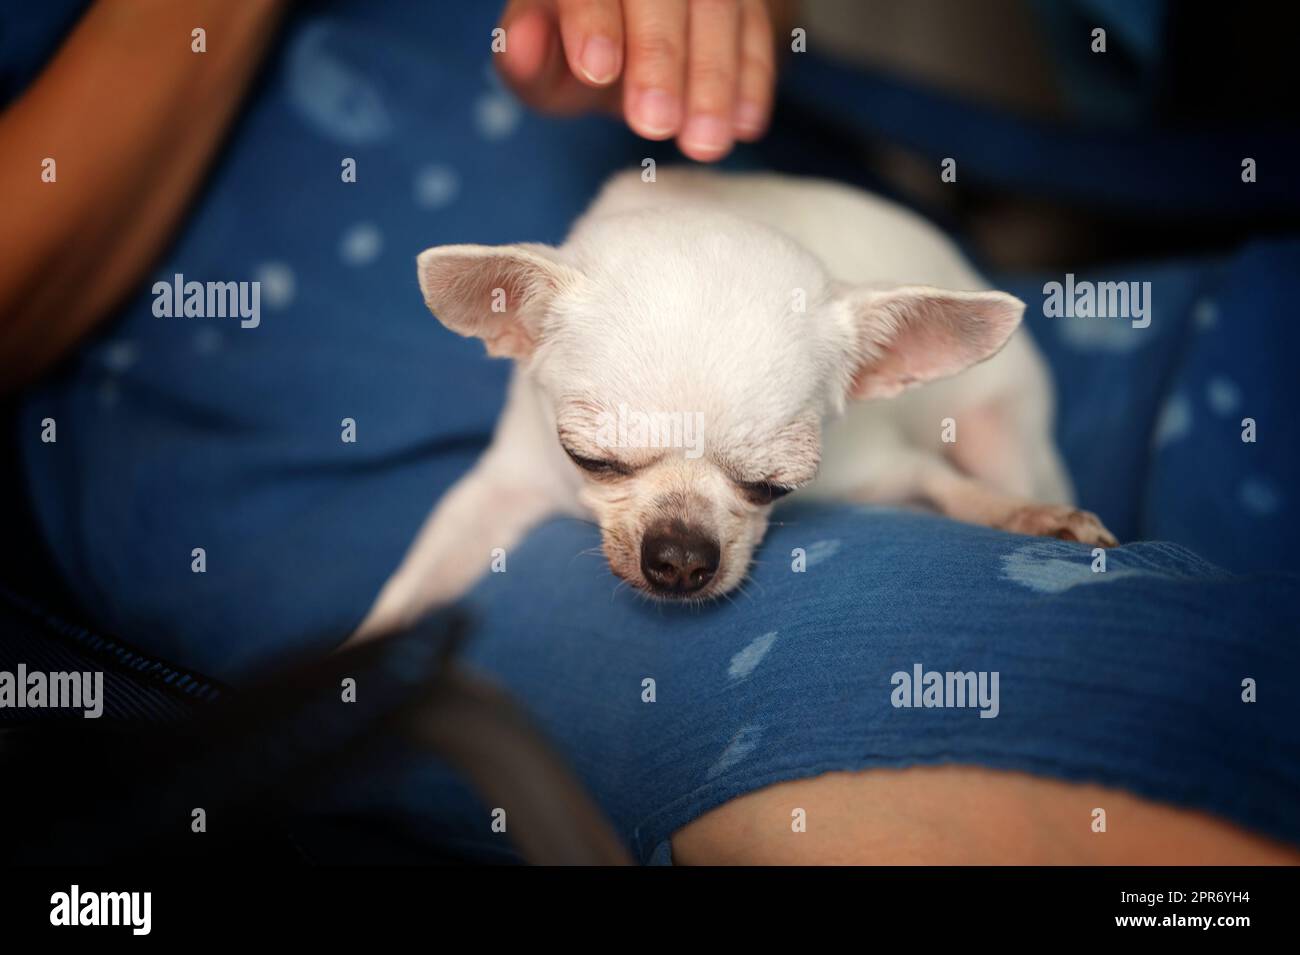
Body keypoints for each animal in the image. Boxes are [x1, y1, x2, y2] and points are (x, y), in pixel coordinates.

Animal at [351, 171, 1112, 639]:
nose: (682, 556)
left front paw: (1032, 518)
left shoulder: (884, 470)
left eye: (775, 485)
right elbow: (416, 582)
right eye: (589, 459)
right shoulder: (505, 486)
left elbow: (954, 489)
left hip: (999, 428)